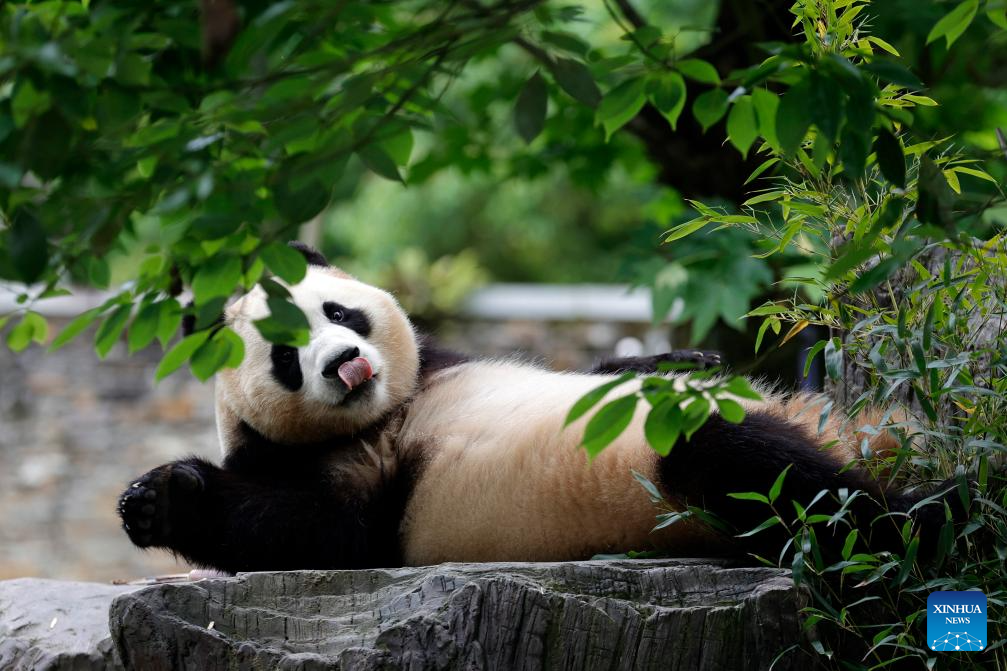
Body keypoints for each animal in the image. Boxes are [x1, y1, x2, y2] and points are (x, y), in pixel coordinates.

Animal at [117, 242, 958, 572]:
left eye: (338, 312)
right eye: (287, 359)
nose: (346, 362)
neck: (389, 409)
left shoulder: (443, 363)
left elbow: (598, 367)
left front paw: (685, 359)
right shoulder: (348, 473)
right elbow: (312, 530)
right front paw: (159, 499)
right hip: (674, 486)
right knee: (757, 471)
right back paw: (933, 513)